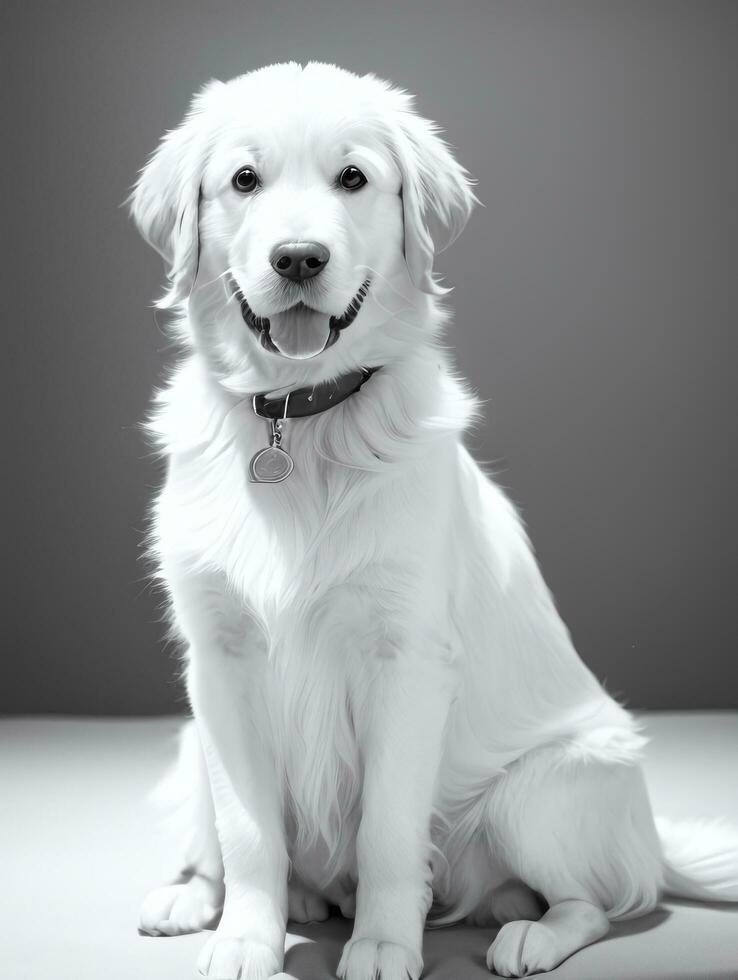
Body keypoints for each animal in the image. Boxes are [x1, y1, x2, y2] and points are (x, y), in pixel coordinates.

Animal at [129, 63, 732, 980]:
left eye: (353, 178)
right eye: (244, 180)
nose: (298, 258)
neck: (298, 421)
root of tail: (654, 845)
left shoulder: (406, 660)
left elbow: (386, 828)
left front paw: (381, 944)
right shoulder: (220, 660)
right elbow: (248, 830)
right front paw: (244, 938)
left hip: (543, 790)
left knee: (598, 904)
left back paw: (527, 935)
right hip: (189, 742)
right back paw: (198, 896)